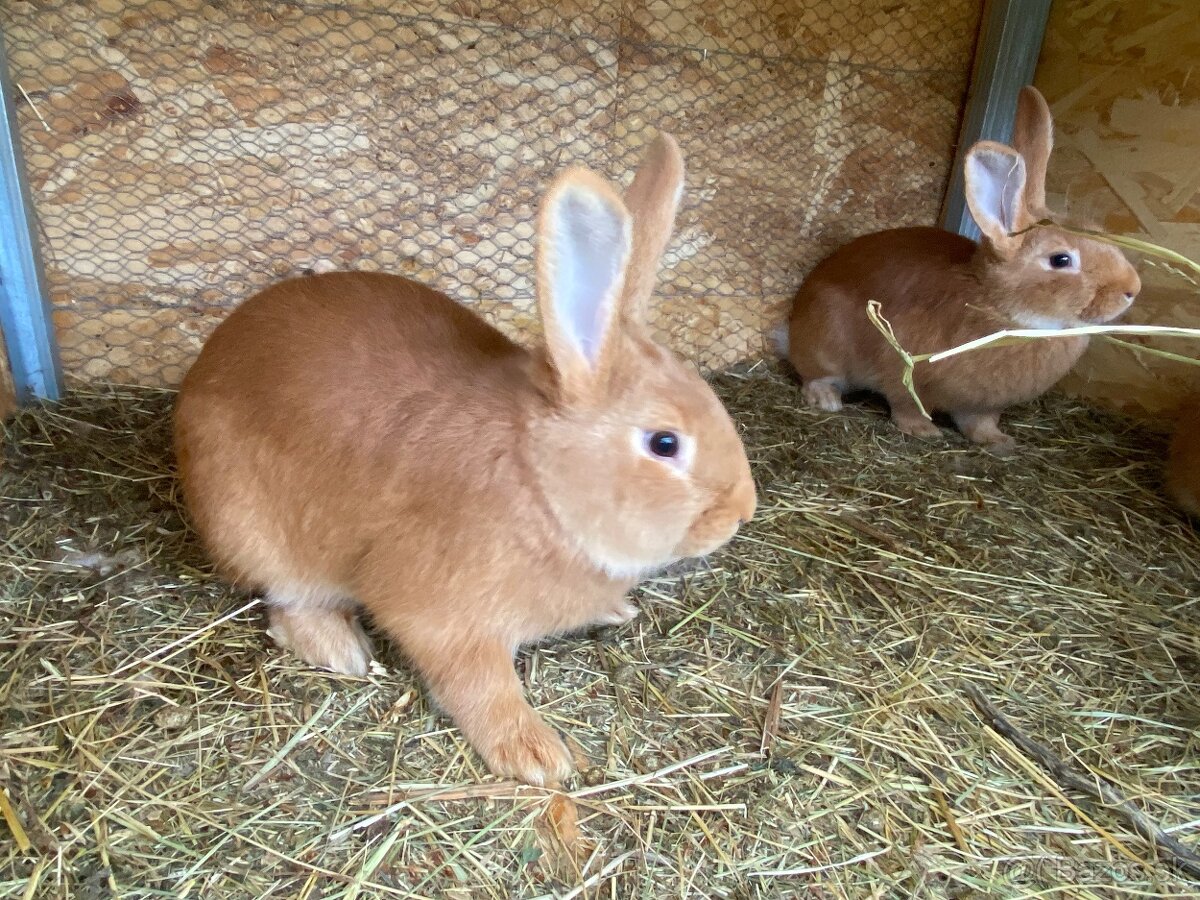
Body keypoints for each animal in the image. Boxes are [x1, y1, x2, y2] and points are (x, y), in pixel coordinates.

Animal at [174, 135, 753, 787]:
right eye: (665, 444)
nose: (742, 511)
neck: (540, 485)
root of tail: (200, 374)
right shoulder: (442, 616)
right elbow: (480, 687)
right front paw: (536, 755)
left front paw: (615, 610)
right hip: (255, 532)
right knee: (285, 602)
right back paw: (340, 649)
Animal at [787, 87, 1142, 453]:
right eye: (1061, 260)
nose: (1132, 289)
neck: (999, 310)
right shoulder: (905, 375)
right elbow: (906, 404)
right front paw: (923, 431)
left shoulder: (982, 405)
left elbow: (980, 422)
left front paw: (999, 442)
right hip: (827, 346)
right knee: (814, 376)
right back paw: (827, 399)